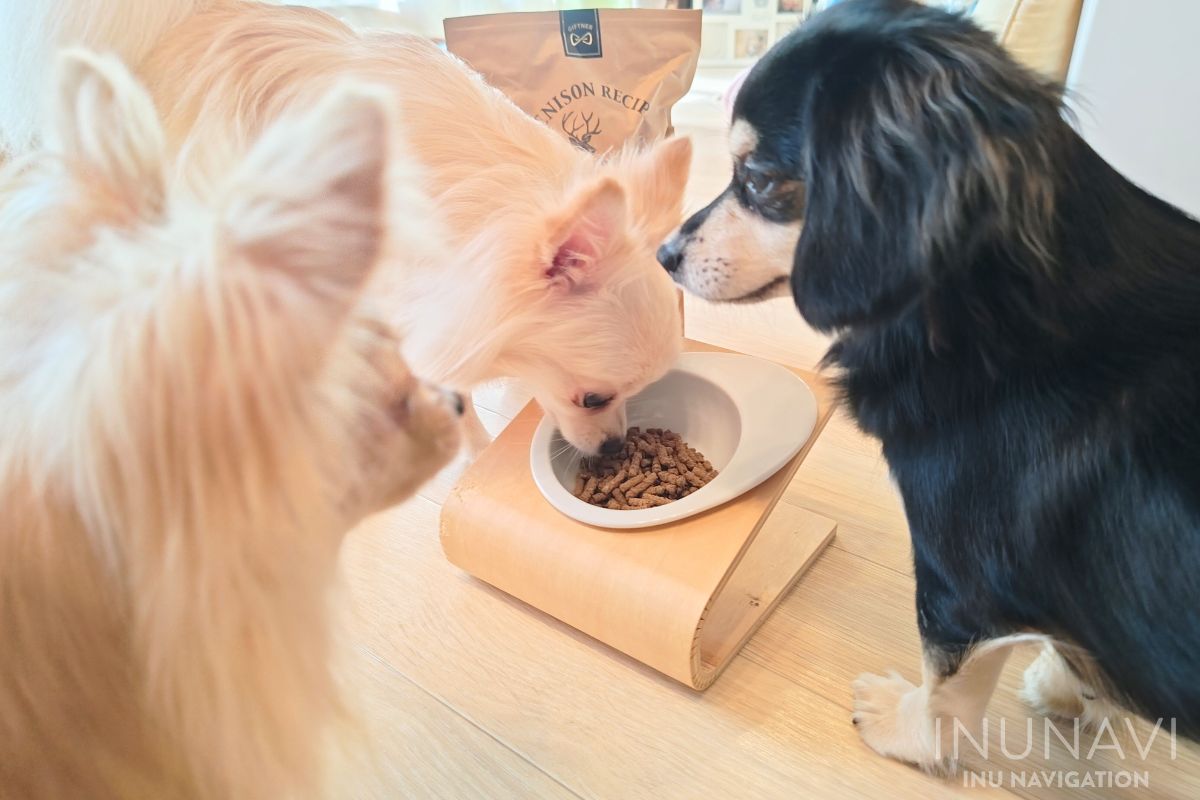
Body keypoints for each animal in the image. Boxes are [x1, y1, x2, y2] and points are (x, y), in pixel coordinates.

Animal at [662, 0, 1195, 772]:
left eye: (757, 178)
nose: (662, 254)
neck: (1001, 314)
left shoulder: (958, 580)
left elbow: (947, 693)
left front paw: (905, 730)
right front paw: (1071, 685)